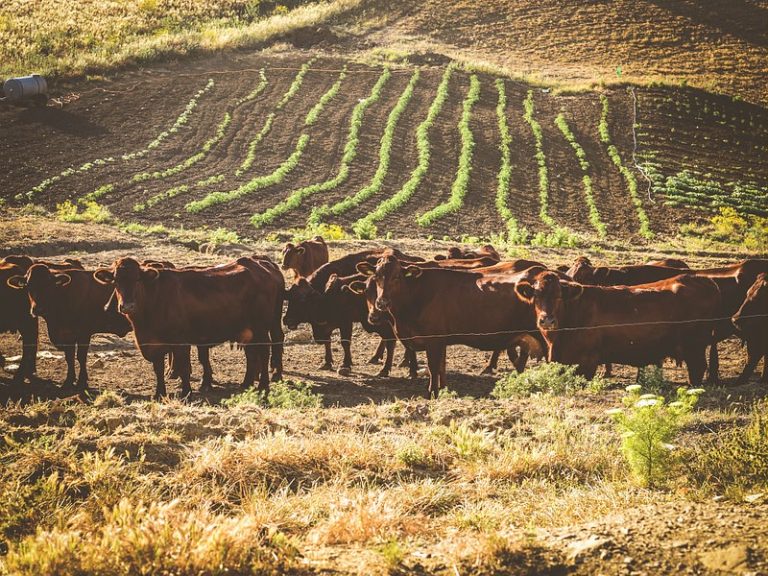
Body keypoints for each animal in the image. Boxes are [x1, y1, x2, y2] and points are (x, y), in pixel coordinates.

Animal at [95, 254, 284, 398]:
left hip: (262, 327)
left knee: (265, 351)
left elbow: (184, 367)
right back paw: (246, 384)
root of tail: (261, 264)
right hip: (248, 330)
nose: (127, 306)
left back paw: (264, 385)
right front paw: (159, 393)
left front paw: (186, 392)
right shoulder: (154, 343)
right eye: (116, 281)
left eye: (137, 279)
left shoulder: (180, 341)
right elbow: (158, 369)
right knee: (252, 354)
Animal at [354, 254, 540, 398]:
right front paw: (443, 389)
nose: (381, 303)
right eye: (376, 277)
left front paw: (432, 393)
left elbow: (433, 367)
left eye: (396, 277)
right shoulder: (441, 341)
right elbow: (441, 367)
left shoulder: (433, 340)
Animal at [512, 272, 724, 388]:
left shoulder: (587, 362)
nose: (547, 320)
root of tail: (700, 279)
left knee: (698, 368)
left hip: (695, 346)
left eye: (558, 296)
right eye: (536, 296)